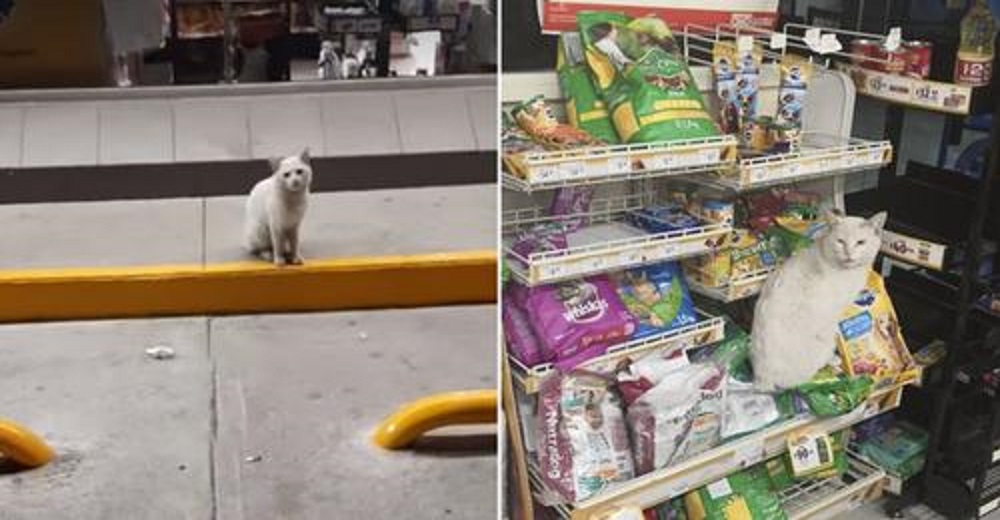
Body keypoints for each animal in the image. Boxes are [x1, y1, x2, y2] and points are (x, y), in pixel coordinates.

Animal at [752, 209, 888, 392]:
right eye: (840, 241)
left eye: (861, 242)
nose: (849, 254)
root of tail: (762, 378)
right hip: (825, 341)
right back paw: (832, 363)